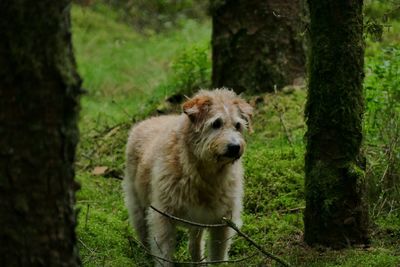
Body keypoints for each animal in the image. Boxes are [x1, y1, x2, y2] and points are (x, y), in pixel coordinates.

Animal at [122, 89, 253, 266]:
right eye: (216, 123)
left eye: (238, 125)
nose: (235, 147)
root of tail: (147, 120)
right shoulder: (163, 217)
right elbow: (163, 254)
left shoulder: (222, 223)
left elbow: (217, 257)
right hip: (137, 204)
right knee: (143, 232)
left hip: (197, 220)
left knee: (194, 245)